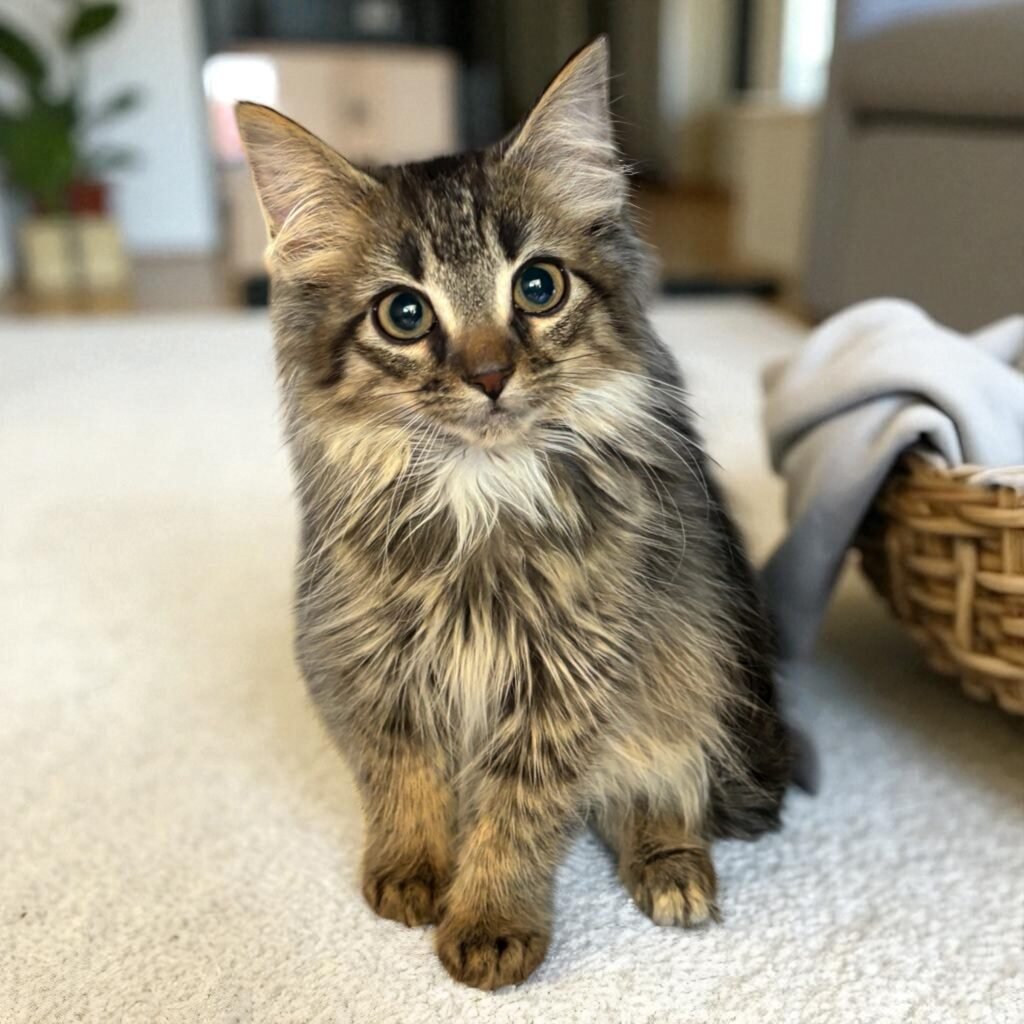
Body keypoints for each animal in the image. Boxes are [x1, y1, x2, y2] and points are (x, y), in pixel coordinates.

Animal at [236, 36, 792, 991]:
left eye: (537, 287)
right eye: (405, 312)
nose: (491, 374)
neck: (479, 492)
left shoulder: (573, 672)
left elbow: (521, 810)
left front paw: (492, 920)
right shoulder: (371, 658)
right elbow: (403, 775)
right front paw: (411, 870)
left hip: (693, 665)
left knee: (659, 786)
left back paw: (674, 869)